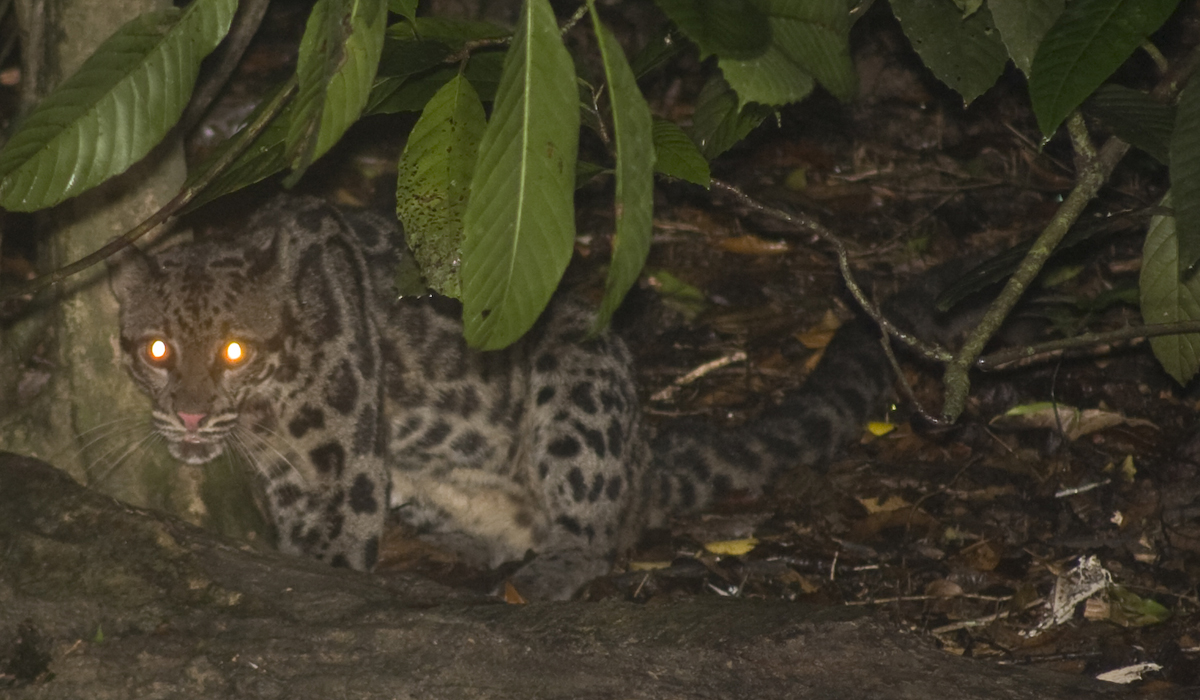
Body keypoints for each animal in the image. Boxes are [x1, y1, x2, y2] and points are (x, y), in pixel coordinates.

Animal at [112, 194, 897, 600]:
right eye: (156, 351)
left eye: (234, 352)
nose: (188, 413)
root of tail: (647, 458)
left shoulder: (343, 477)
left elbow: (333, 562)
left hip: (578, 380)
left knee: (598, 535)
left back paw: (548, 572)